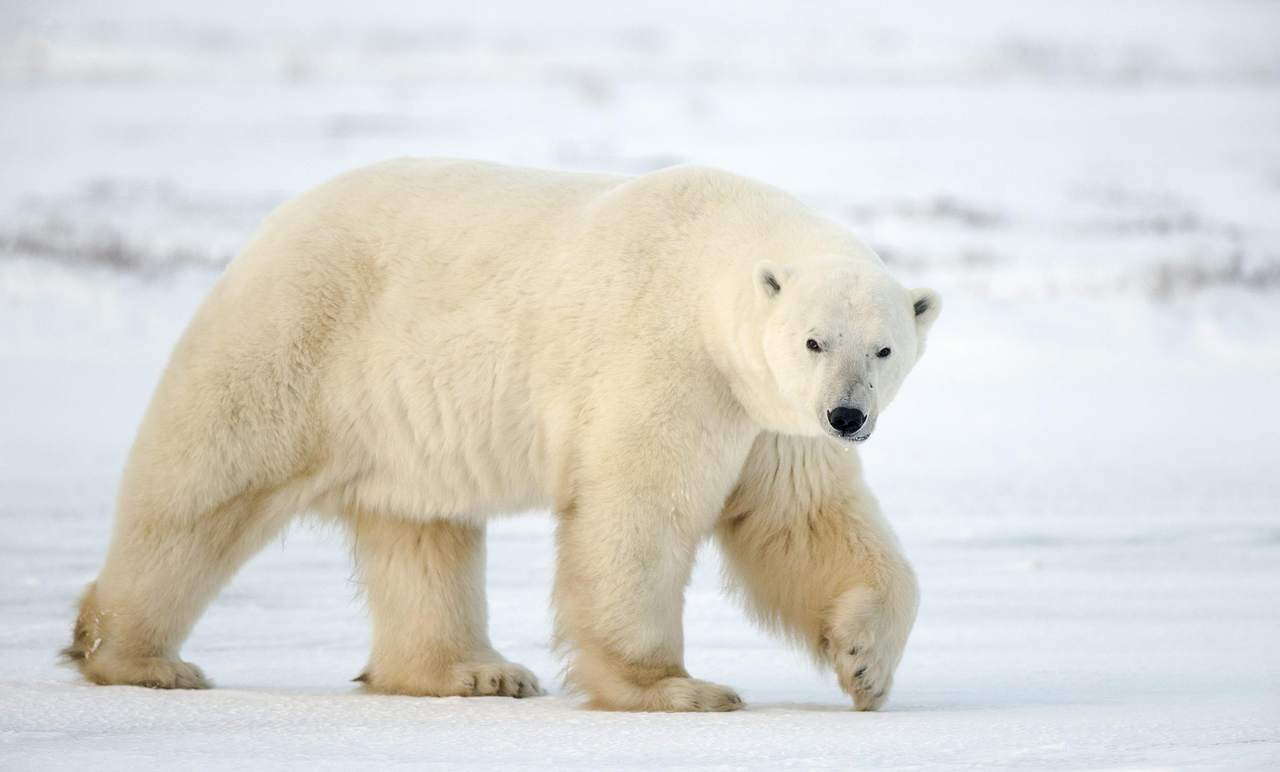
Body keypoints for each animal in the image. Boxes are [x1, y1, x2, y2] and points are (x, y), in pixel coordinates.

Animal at [62, 158, 942, 711]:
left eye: (884, 348)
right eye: (813, 341)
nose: (848, 416)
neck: (707, 266)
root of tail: (267, 231)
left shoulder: (766, 415)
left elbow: (802, 521)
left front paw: (866, 665)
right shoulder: (668, 363)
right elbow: (638, 514)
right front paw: (674, 687)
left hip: (398, 421)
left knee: (422, 531)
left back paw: (472, 673)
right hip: (295, 340)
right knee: (200, 490)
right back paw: (138, 656)